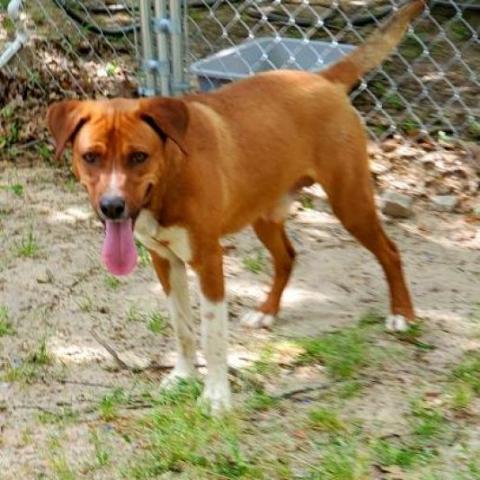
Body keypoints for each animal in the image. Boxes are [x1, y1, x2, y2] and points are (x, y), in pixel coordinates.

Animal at [47, 0, 424, 412]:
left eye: (138, 156)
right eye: (91, 156)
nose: (112, 207)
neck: (170, 177)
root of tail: (322, 79)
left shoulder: (208, 260)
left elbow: (212, 335)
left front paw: (215, 397)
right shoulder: (166, 261)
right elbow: (182, 327)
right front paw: (182, 376)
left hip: (350, 202)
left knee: (390, 251)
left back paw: (402, 315)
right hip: (264, 214)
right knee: (287, 257)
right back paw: (266, 312)